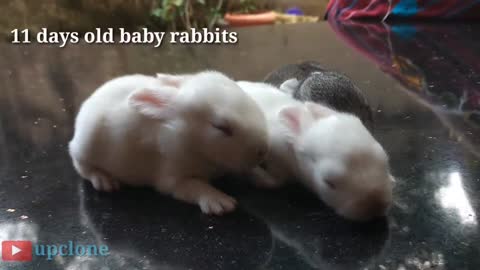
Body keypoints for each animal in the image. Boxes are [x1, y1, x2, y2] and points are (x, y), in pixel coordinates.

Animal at [70, 71, 270, 215]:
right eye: (221, 127)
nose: (263, 150)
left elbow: (248, 170)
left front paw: (264, 178)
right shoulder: (172, 178)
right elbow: (195, 186)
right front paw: (221, 202)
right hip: (85, 147)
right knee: (83, 168)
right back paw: (105, 181)